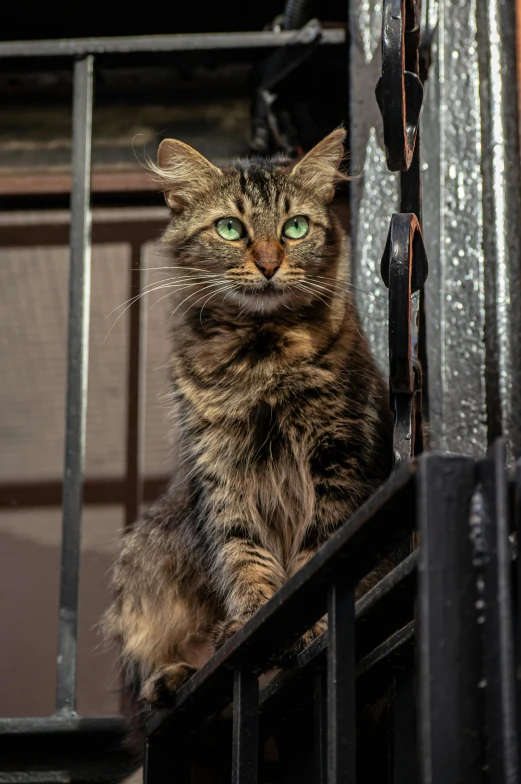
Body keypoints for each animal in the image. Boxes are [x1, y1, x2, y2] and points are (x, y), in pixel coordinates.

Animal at [103, 127, 392, 712]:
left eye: (295, 227)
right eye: (231, 229)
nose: (268, 263)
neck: (261, 359)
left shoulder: (338, 454)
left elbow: (315, 558)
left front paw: (307, 626)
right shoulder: (220, 468)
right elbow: (245, 557)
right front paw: (252, 623)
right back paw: (171, 676)